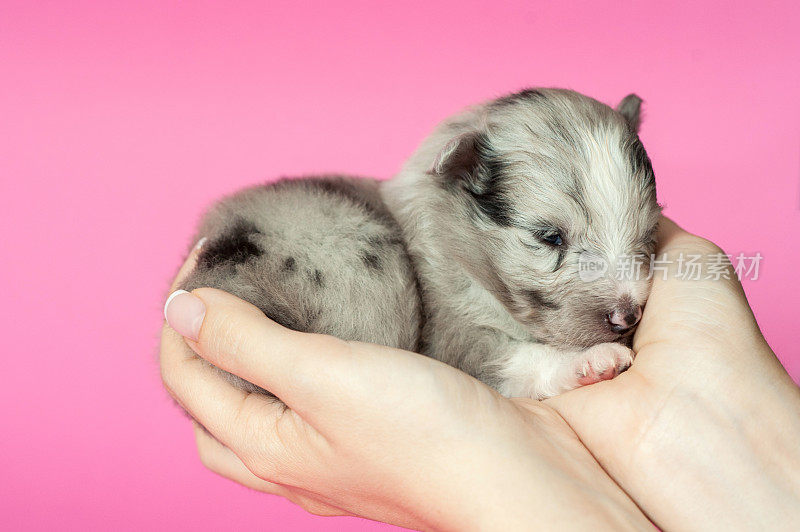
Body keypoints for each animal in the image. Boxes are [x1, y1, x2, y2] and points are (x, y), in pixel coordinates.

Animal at [175, 88, 664, 400]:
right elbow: (513, 358)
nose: (627, 318)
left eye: (648, 235)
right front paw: (592, 361)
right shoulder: (449, 335)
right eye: (550, 237)